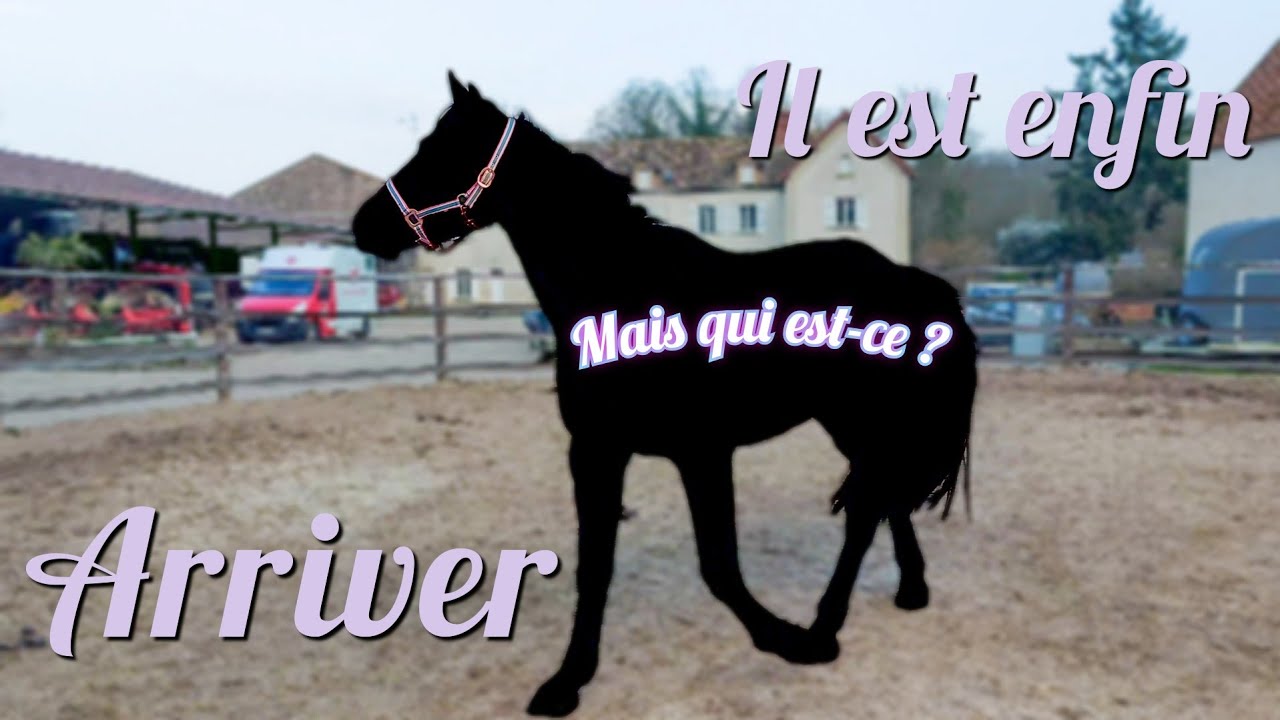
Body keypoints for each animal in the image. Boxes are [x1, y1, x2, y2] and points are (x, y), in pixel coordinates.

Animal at [351, 72, 978, 717]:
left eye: (437, 153)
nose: (362, 225)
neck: (623, 293)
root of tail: (907, 277)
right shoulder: (597, 451)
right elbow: (595, 566)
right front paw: (568, 680)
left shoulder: (701, 452)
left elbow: (719, 566)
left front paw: (779, 639)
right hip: (851, 424)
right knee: (884, 500)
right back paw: (908, 590)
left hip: (861, 419)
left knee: (865, 512)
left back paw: (822, 631)